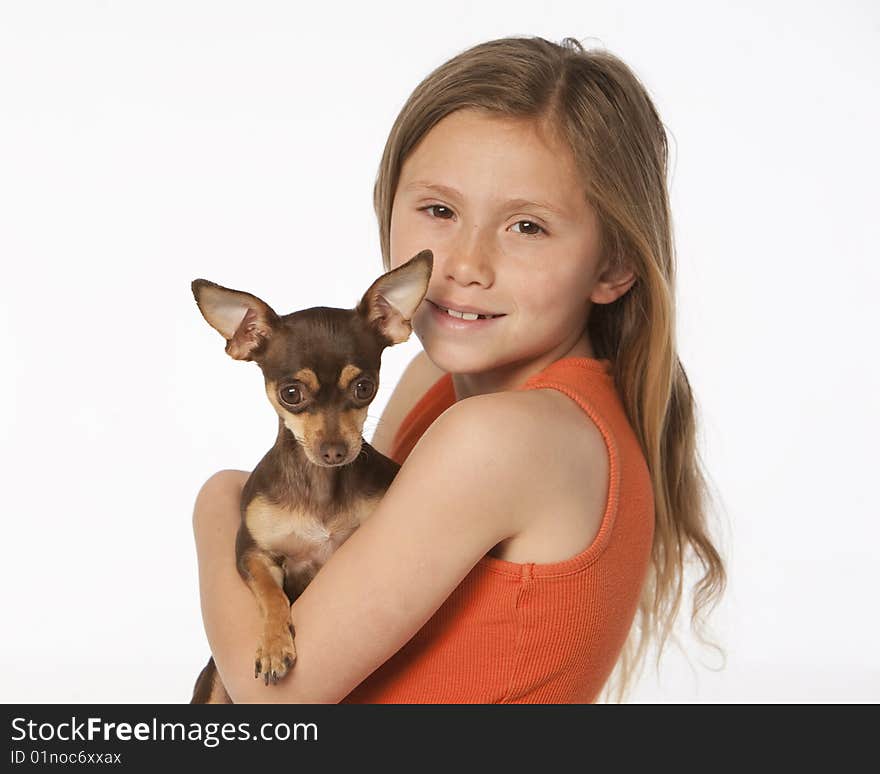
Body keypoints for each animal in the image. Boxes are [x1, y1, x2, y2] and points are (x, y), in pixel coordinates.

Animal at [190, 249, 434, 704]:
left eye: (364, 387)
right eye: (291, 394)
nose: (335, 450)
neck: (320, 486)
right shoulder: (252, 554)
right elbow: (271, 595)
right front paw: (273, 645)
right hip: (213, 686)